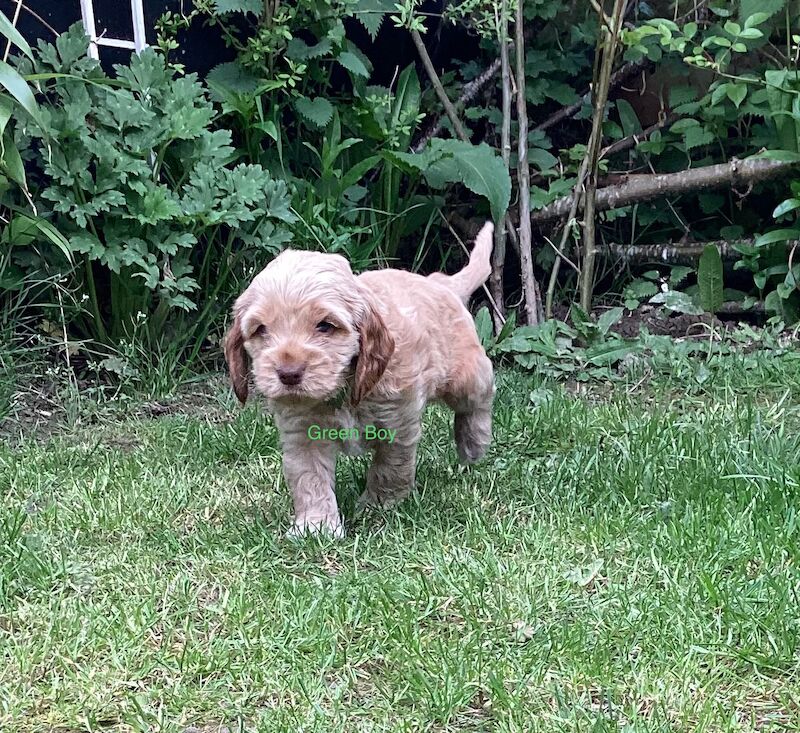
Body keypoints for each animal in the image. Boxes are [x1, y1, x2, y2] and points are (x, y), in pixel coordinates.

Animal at [225, 220, 496, 536]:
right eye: (261, 329)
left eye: (325, 326)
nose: (288, 374)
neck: (343, 389)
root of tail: (440, 282)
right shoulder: (301, 432)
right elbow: (309, 477)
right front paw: (316, 526)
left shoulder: (398, 424)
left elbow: (391, 468)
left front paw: (378, 506)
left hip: (465, 376)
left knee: (481, 395)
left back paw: (473, 443)